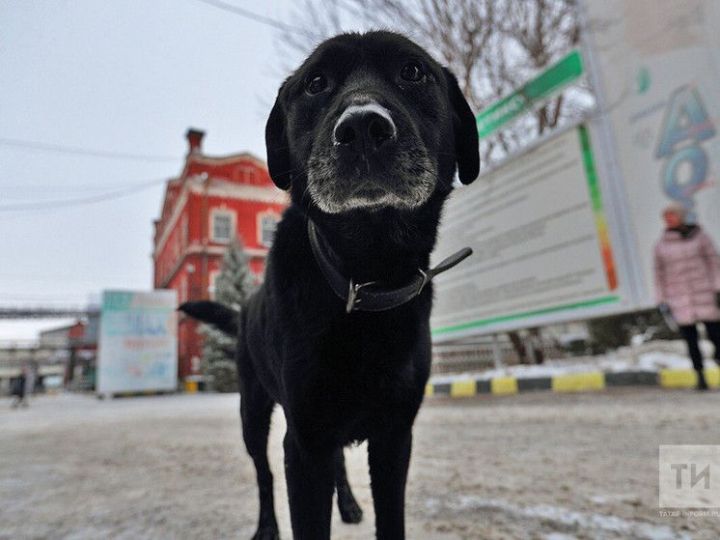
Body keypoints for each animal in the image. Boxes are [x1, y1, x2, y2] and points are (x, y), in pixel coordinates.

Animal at [180, 30, 478, 540]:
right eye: (315, 83)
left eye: (413, 71)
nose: (361, 128)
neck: (365, 274)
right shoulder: (304, 442)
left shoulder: (394, 437)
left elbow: (391, 519)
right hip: (253, 413)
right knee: (263, 475)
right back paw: (266, 526)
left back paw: (351, 504)